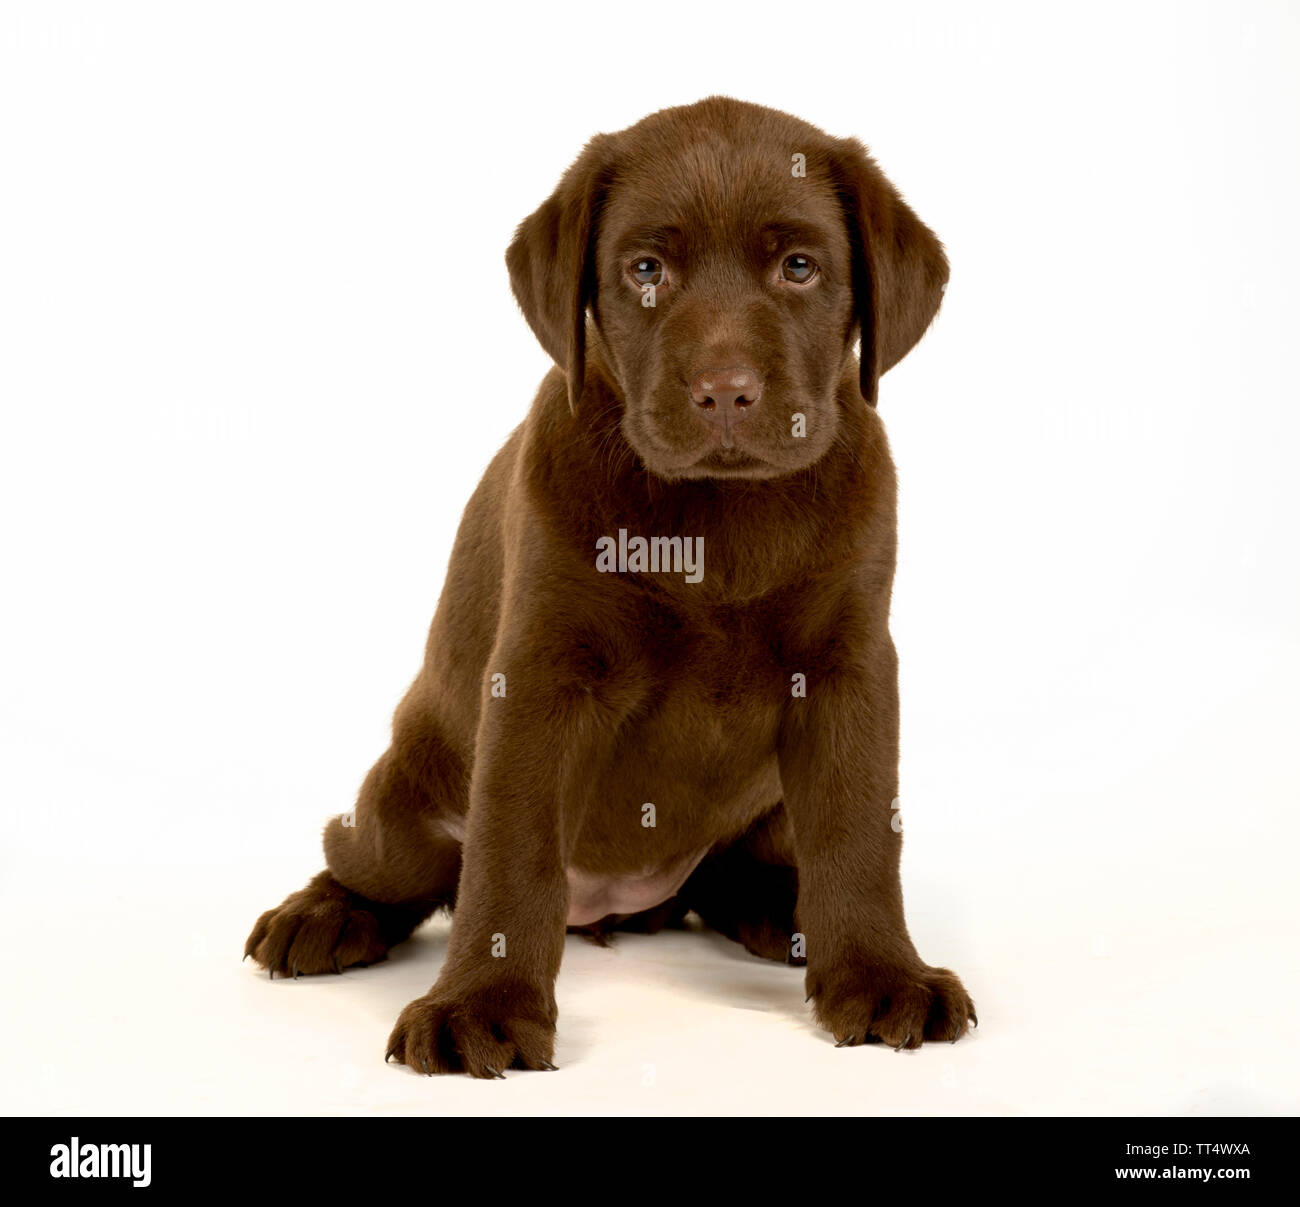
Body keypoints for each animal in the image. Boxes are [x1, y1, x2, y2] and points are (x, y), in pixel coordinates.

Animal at [245, 94, 977, 1076]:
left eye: (799, 266)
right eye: (645, 269)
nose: (725, 393)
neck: (715, 519)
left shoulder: (848, 668)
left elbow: (860, 829)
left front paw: (879, 971)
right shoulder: (539, 674)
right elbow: (511, 853)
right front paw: (481, 1002)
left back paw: (783, 909)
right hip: (409, 799)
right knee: (377, 857)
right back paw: (321, 915)